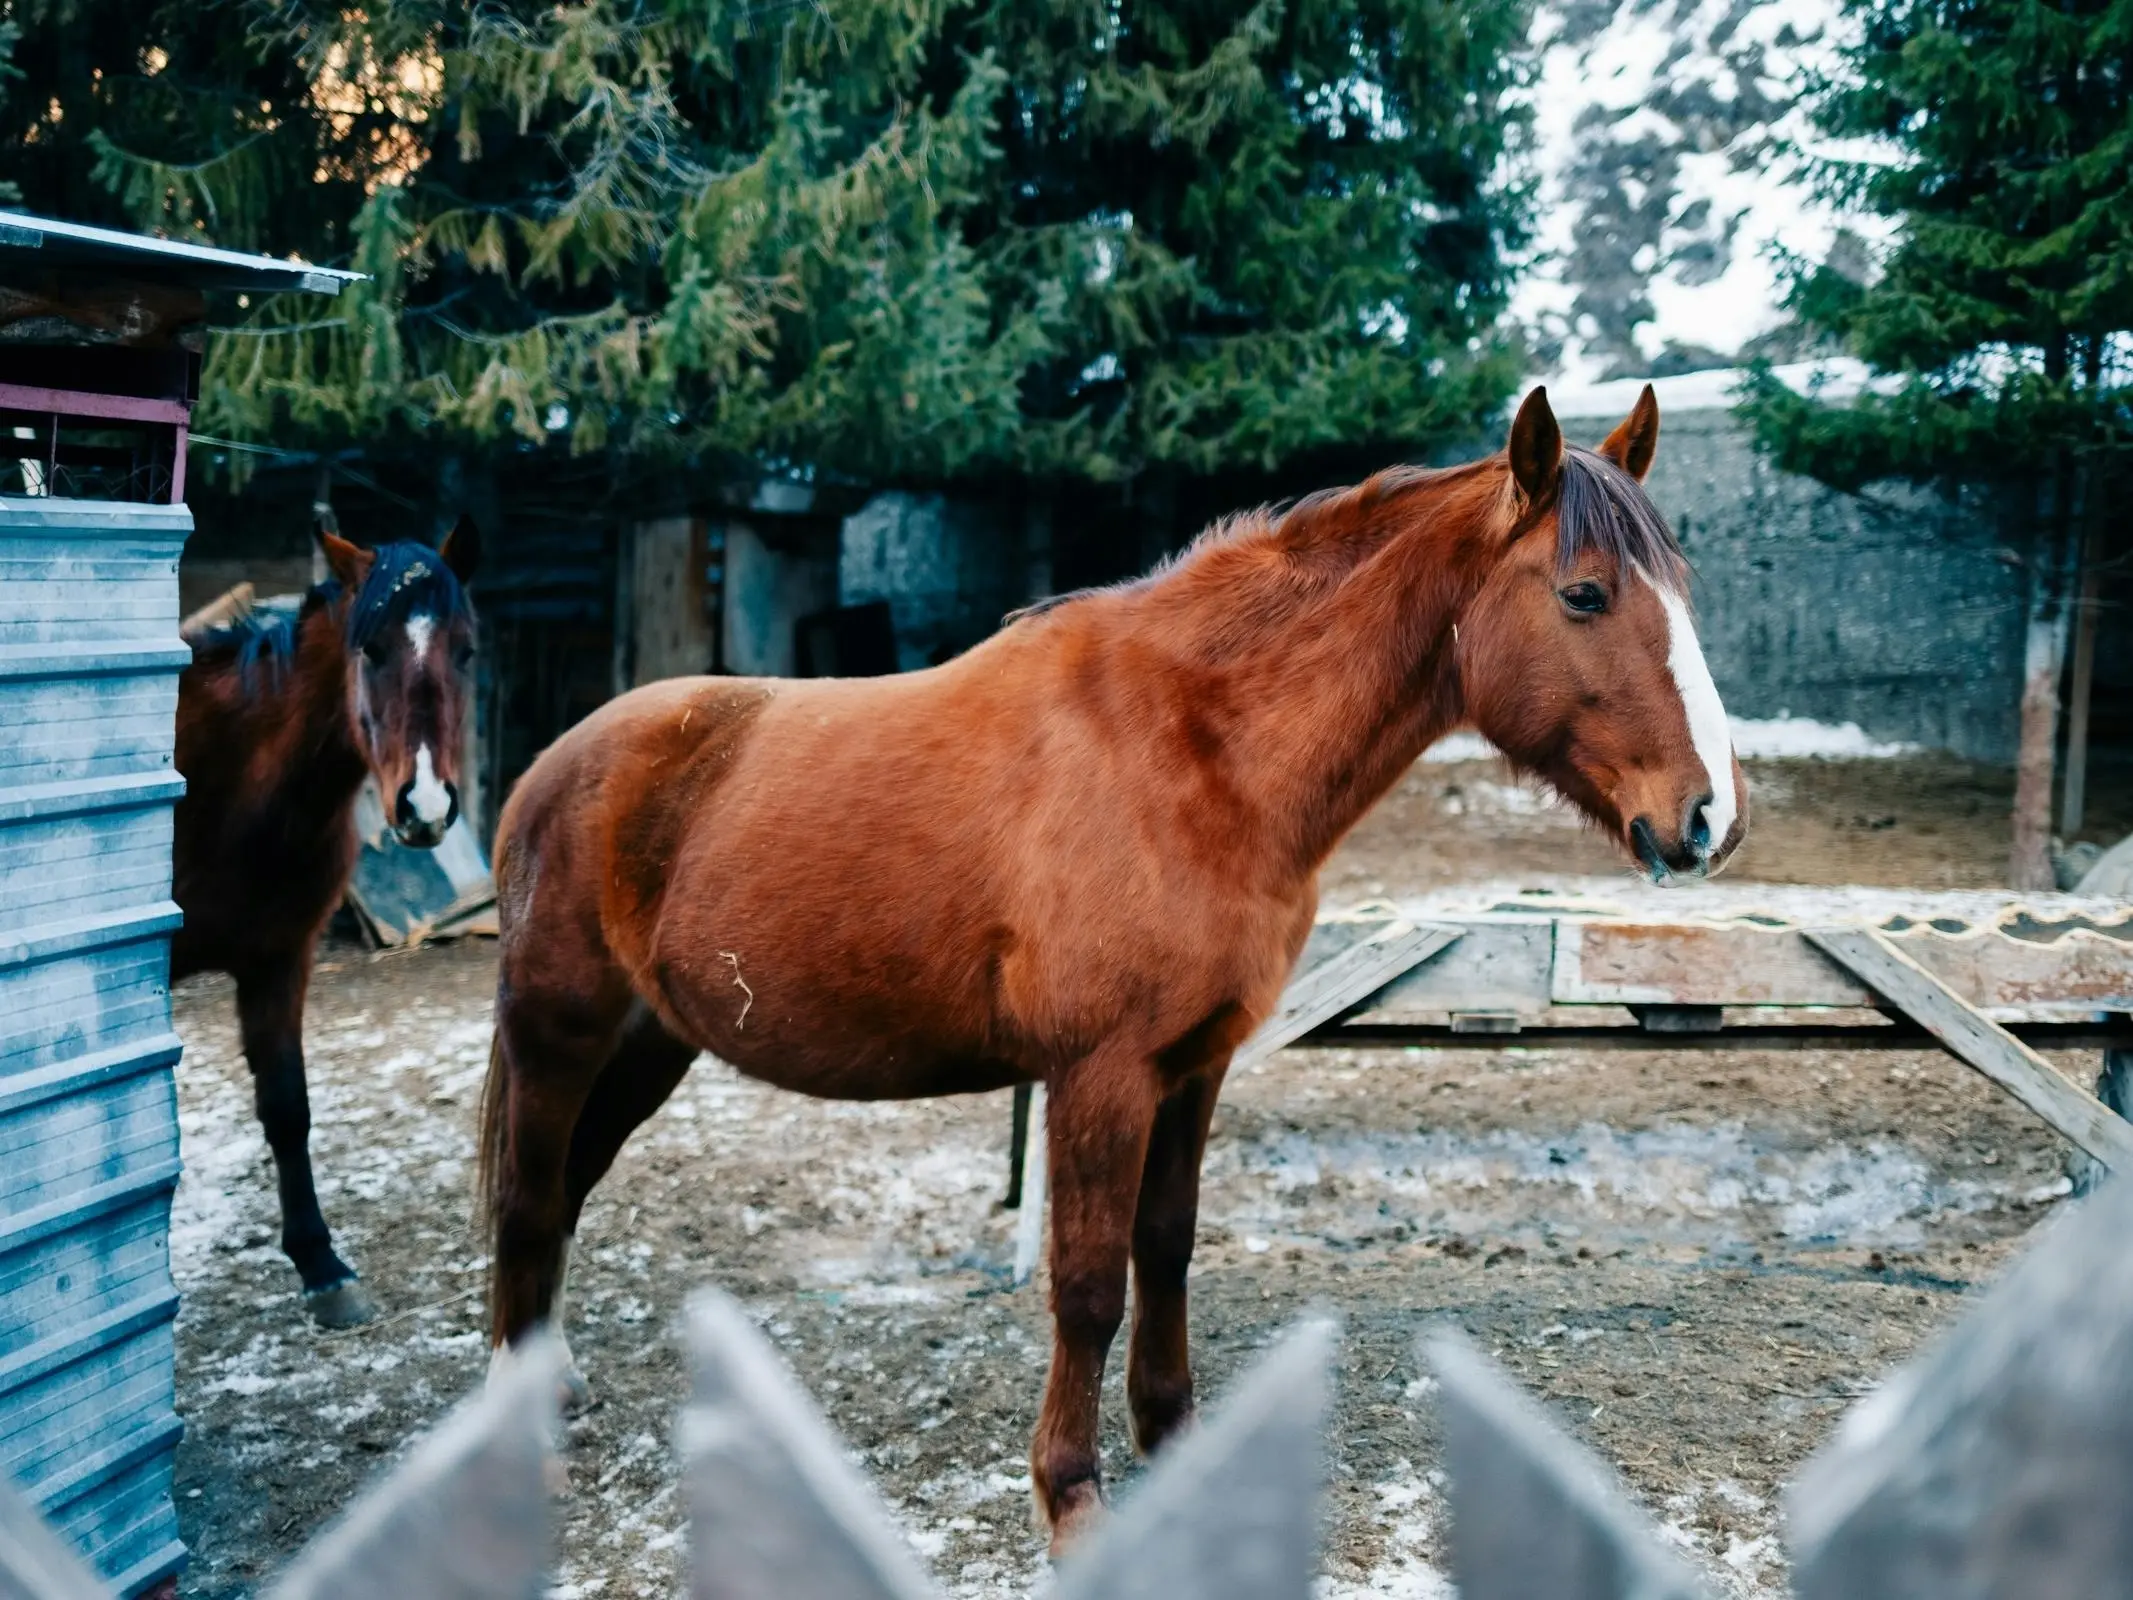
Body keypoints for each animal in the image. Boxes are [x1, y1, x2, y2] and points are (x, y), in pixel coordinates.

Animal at [173, 521, 480, 1328]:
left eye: (466, 650)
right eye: (368, 650)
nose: (425, 805)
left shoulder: (279, 960)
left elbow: (287, 1107)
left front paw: (320, 1263)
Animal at [476, 384, 1747, 1549]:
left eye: (1685, 594)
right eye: (1584, 594)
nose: (1711, 818)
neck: (1195, 751)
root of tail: (557, 766)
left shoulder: (1195, 1066)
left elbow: (1166, 1248)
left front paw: (1173, 1440)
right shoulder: (1102, 1074)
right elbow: (1087, 1284)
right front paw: (1072, 1494)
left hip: (648, 1048)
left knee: (565, 1196)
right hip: (561, 1035)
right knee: (530, 1203)